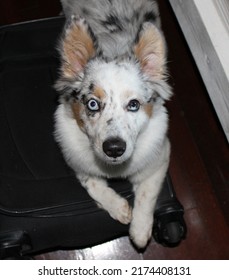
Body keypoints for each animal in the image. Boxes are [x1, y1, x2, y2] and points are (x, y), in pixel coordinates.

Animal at [54, 0, 172, 249]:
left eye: (134, 104)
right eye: (92, 103)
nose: (114, 148)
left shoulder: (159, 159)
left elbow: (146, 195)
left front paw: (140, 231)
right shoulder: (75, 159)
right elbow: (94, 185)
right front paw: (120, 209)